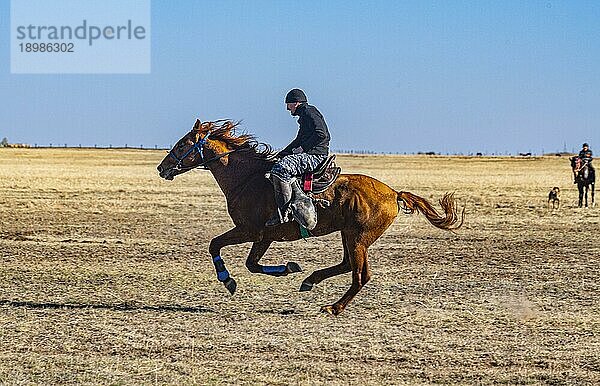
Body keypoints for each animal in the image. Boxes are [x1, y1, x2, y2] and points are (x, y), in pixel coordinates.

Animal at [156, 119, 464, 316]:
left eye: (182, 145)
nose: (162, 168)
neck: (245, 178)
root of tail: (393, 193)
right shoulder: (264, 237)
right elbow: (252, 264)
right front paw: (288, 268)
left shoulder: (248, 230)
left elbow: (215, 246)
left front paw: (227, 280)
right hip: (348, 235)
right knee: (347, 265)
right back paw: (310, 280)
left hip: (358, 238)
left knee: (360, 275)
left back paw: (334, 307)